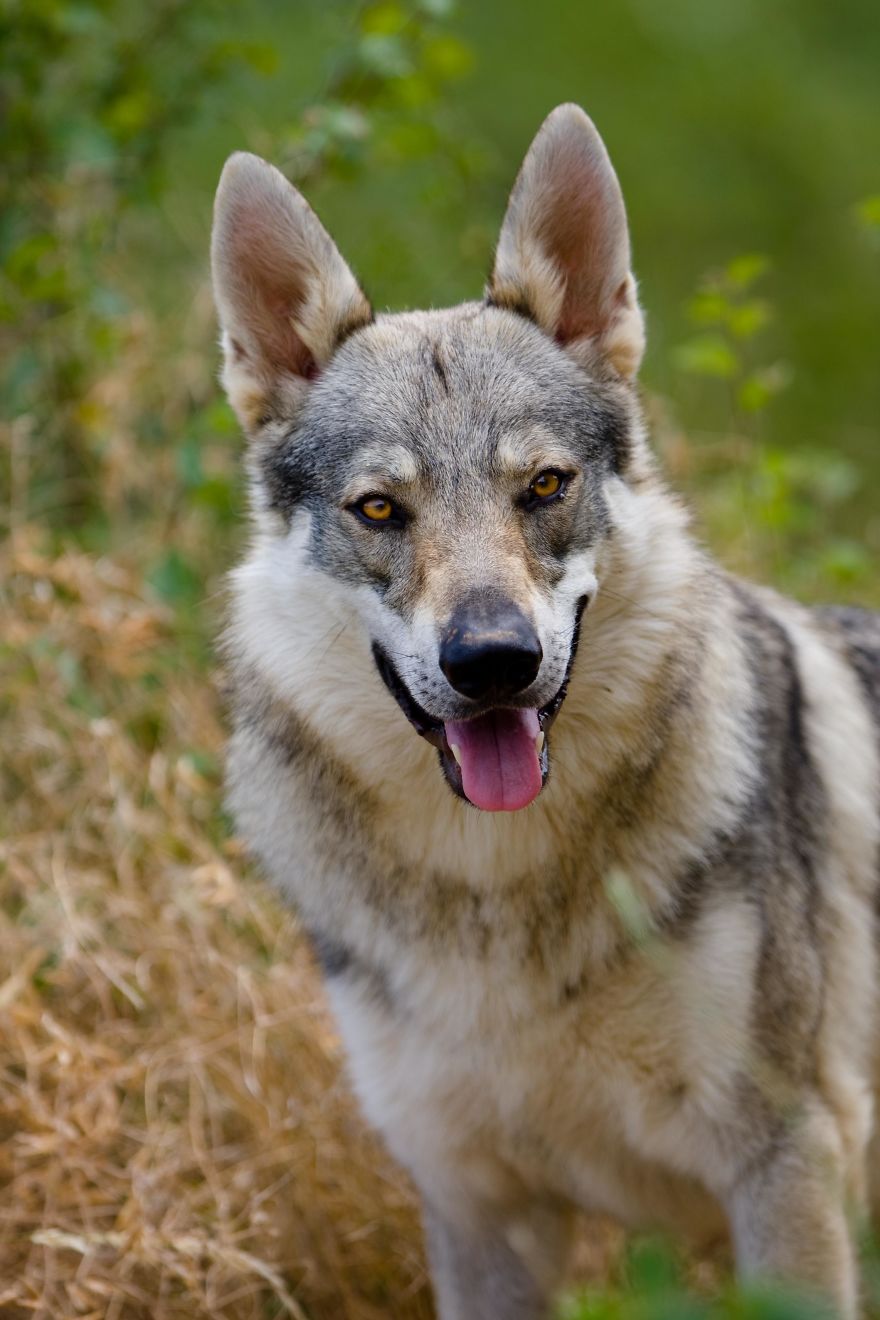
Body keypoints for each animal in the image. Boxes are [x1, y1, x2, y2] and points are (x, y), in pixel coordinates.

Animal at [211, 104, 880, 1318]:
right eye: (379, 510)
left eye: (545, 487)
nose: (492, 663)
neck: (496, 899)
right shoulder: (477, 1206)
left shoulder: (789, 1167)